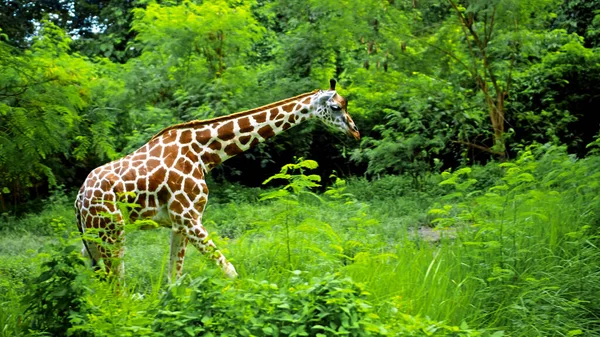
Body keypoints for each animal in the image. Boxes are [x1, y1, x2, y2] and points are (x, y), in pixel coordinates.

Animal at [73, 79, 358, 280]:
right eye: (335, 107)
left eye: (345, 104)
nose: (355, 131)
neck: (203, 153)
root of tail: (79, 200)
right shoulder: (188, 217)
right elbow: (230, 271)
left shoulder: (179, 223)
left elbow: (173, 279)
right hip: (111, 230)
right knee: (116, 281)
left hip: (93, 237)